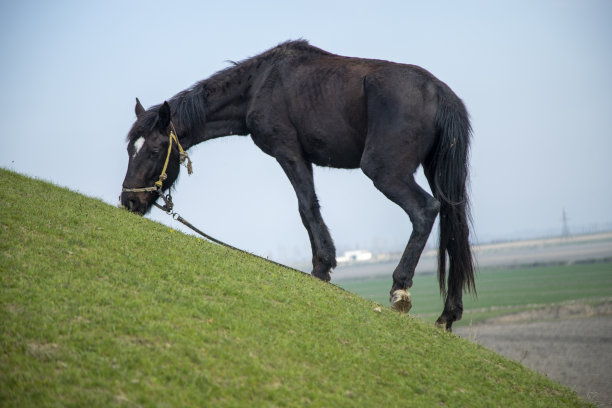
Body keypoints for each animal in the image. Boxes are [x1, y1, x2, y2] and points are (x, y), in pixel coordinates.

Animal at [118, 39, 474, 330]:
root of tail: (440, 94)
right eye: (130, 149)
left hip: (386, 172)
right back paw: (448, 314)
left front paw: (321, 267)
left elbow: (306, 207)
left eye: (153, 150)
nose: (129, 201)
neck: (260, 83)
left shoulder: (289, 152)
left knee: (425, 211)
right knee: (454, 227)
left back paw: (400, 288)